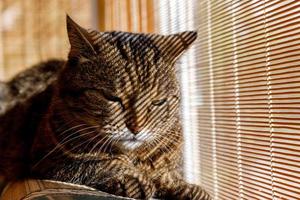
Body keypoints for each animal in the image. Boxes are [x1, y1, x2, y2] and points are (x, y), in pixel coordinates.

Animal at [0, 16, 211, 200]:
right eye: (112, 98)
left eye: (158, 102)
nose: (136, 128)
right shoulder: (48, 159)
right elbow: (97, 163)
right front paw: (131, 178)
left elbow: (168, 174)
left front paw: (184, 187)